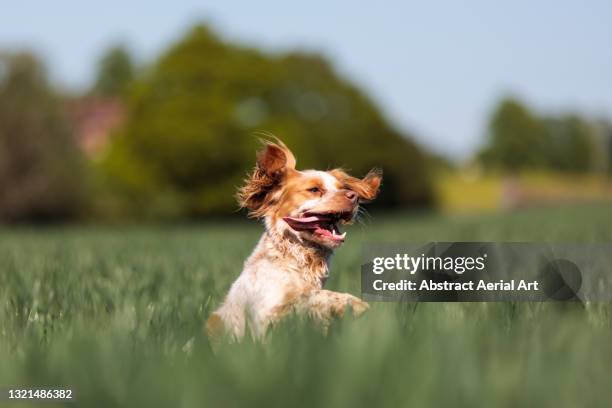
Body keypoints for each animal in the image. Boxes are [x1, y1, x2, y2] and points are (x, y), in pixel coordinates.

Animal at [208, 139, 380, 342]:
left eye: (343, 188)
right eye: (314, 190)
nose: (354, 197)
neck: (298, 259)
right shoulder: (265, 313)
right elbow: (309, 297)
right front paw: (355, 304)